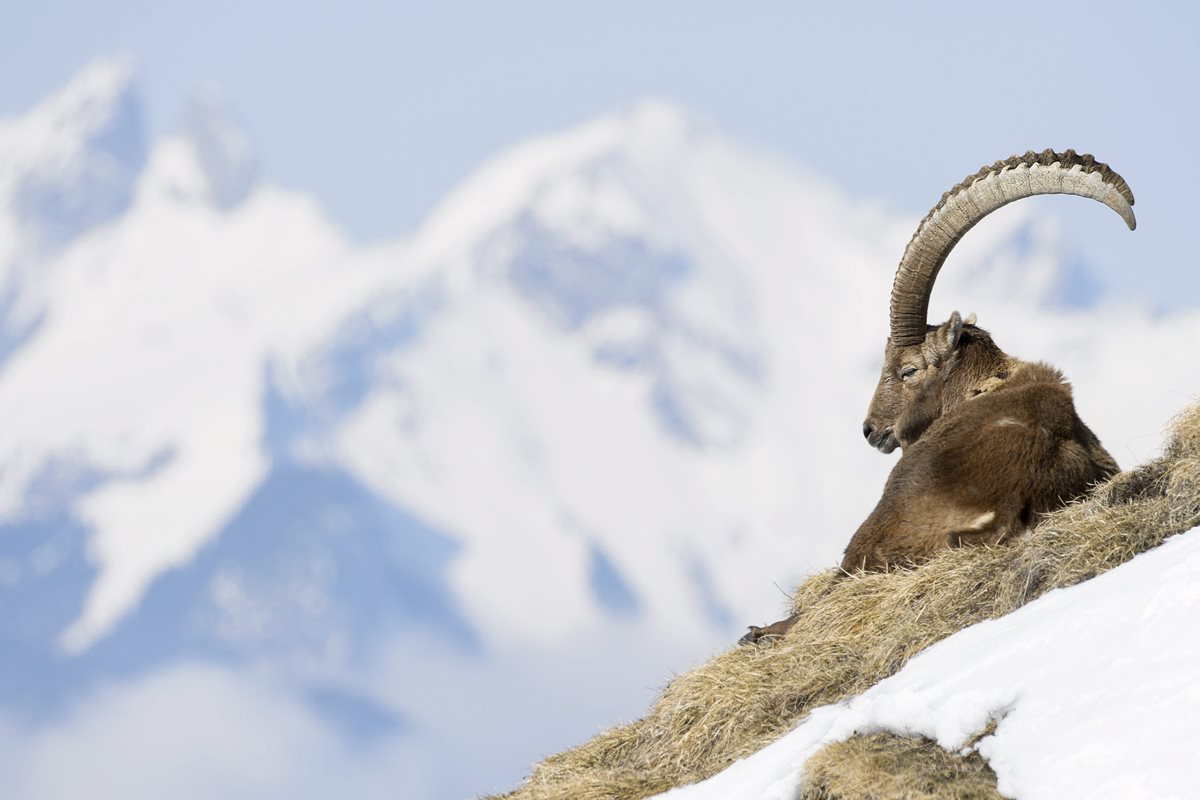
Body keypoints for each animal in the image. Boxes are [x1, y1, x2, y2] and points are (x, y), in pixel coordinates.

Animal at [742, 150, 1133, 644]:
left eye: (907, 370)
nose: (871, 429)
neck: (988, 383)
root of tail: (1012, 503)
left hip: (879, 527)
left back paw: (758, 632)